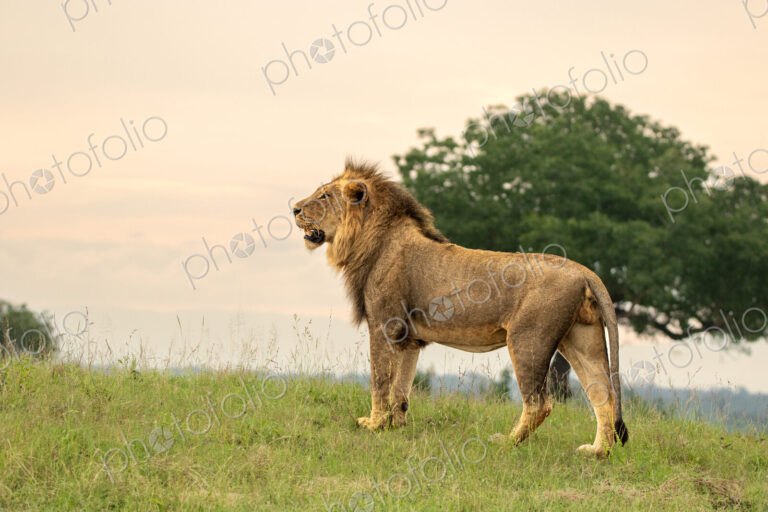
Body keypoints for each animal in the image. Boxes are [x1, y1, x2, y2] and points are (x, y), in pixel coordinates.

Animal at [292, 160, 628, 456]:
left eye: (324, 196)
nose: (294, 209)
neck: (368, 240)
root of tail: (585, 272)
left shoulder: (384, 325)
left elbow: (380, 381)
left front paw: (373, 424)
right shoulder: (408, 337)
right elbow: (401, 387)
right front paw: (394, 426)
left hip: (528, 339)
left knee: (540, 403)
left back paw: (506, 442)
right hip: (581, 339)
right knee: (603, 394)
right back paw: (597, 452)